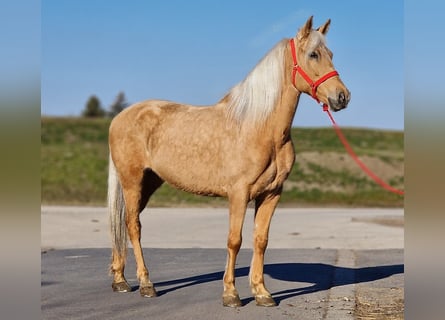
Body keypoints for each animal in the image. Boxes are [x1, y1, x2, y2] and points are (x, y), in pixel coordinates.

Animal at [108, 15, 350, 308]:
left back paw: (120, 280)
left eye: (331, 54)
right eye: (313, 54)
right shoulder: (238, 194)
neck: (259, 127)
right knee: (133, 226)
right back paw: (145, 284)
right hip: (132, 181)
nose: (341, 97)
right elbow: (235, 240)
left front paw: (262, 293)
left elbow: (260, 240)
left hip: (148, 183)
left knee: (122, 223)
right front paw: (231, 294)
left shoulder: (271, 194)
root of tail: (120, 117)